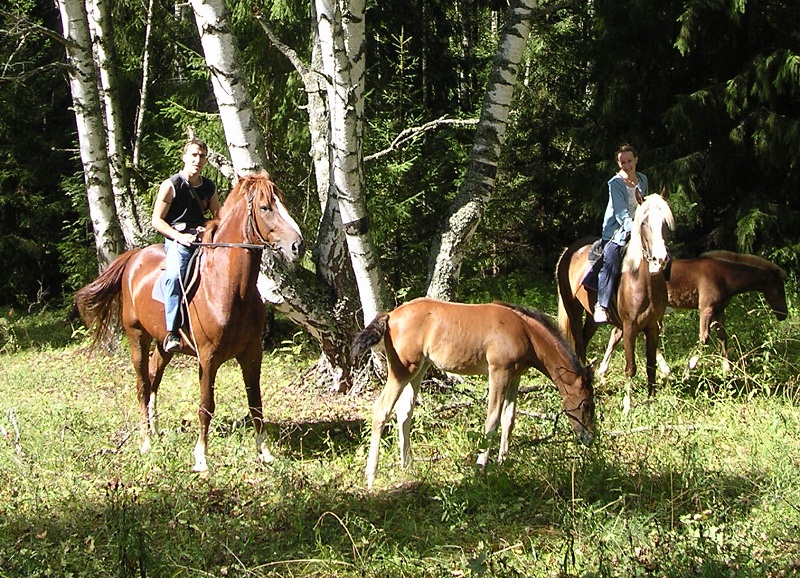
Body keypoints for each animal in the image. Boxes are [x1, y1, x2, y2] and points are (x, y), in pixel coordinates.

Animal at [74, 173, 304, 470]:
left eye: (282, 202)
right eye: (265, 207)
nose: (298, 246)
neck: (229, 286)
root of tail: (134, 258)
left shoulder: (252, 353)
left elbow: (256, 403)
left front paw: (265, 452)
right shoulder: (207, 358)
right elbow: (206, 406)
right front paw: (201, 458)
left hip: (163, 345)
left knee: (154, 379)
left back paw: (155, 430)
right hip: (137, 337)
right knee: (142, 386)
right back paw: (146, 441)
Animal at [350, 296, 592, 490]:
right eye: (586, 404)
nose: (589, 438)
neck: (525, 332)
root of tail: (390, 315)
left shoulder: (515, 376)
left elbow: (509, 419)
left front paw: (503, 463)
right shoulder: (499, 371)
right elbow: (493, 419)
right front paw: (480, 468)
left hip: (418, 369)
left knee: (404, 412)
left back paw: (407, 465)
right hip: (402, 370)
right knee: (381, 410)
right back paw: (371, 476)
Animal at [556, 194, 676, 410]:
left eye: (665, 222)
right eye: (644, 222)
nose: (660, 258)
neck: (642, 279)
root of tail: (568, 251)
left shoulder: (652, 326)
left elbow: (650, 364)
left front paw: (652, 399)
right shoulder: (629, 327)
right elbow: (630, 367)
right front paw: (627, 405)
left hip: (593, 318)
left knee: (585, 339)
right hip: (573, 310)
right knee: (579, 345)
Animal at [600, 249, 788, 378]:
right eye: (779, 289)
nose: (784, 315)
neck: (724, 276)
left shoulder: (719, 309)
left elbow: (722, 335)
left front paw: (727, 368)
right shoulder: (706, 308)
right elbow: (704, 337)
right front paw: (688, 369)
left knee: (617, 332)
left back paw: (603, 369)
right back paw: (665, 369)